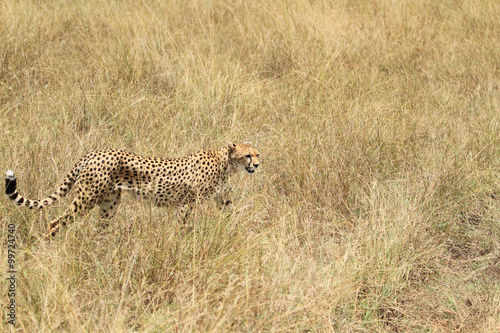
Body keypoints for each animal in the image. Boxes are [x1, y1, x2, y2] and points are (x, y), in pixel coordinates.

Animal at [5, 143, 262, 236]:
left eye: (258, 154)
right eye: (248, 155)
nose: (258, 165)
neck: (226, 163)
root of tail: (91, 153)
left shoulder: (223, 200)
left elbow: (231, 218)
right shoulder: (185, 204)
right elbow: (182, 225)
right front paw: (182, 242)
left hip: (109, 203)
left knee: (101, 228)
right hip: (87, 198)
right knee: (55, 222)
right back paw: (50, 248)